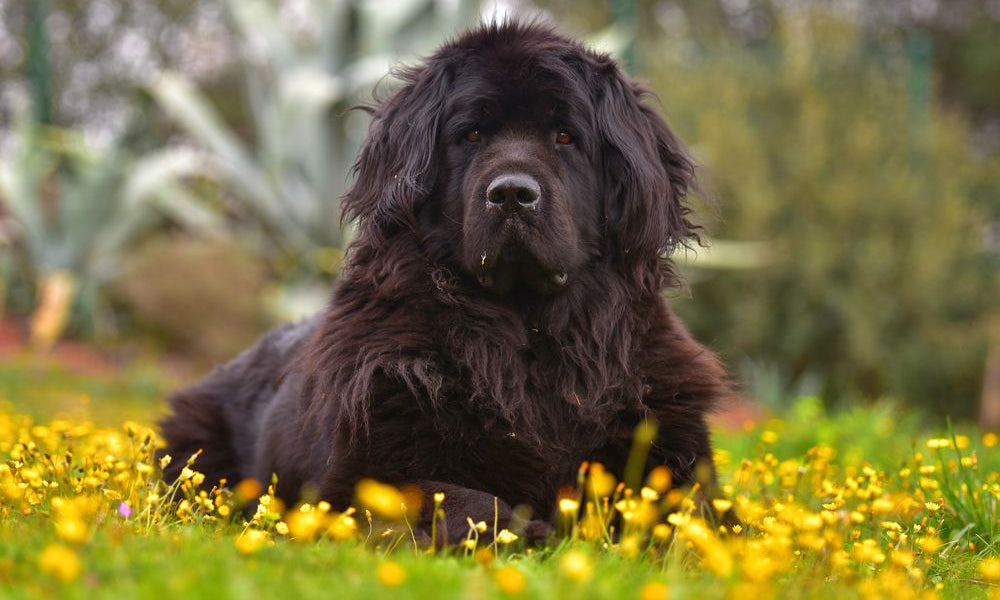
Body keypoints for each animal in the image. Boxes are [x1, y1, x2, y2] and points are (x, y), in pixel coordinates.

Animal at [160, 21, 732, 540]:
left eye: (565, 136)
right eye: (471, 134)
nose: (511, 194)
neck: (531, 337)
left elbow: (694, 515)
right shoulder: (357, 474)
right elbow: (467, 500)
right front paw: (534, 533)